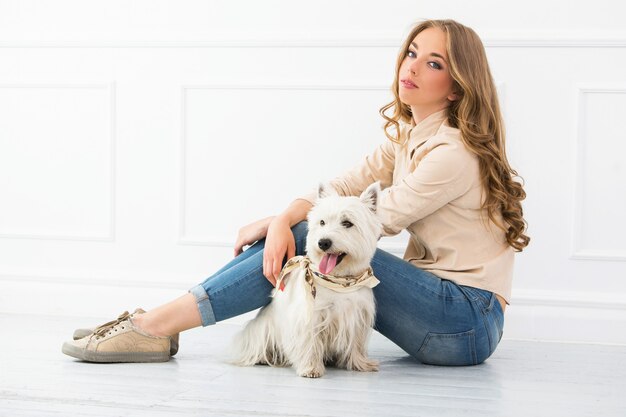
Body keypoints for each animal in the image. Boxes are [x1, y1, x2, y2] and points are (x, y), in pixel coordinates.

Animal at [232, 182, 382, 376]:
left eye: (347, 223)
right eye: (322, 222)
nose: (323, 242)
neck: (340, 281)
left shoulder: (358, 314)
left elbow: (356, 342)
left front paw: (360, 363)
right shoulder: (310, 315)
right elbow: (310, 342)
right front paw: (311, 368)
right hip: (263, 330)